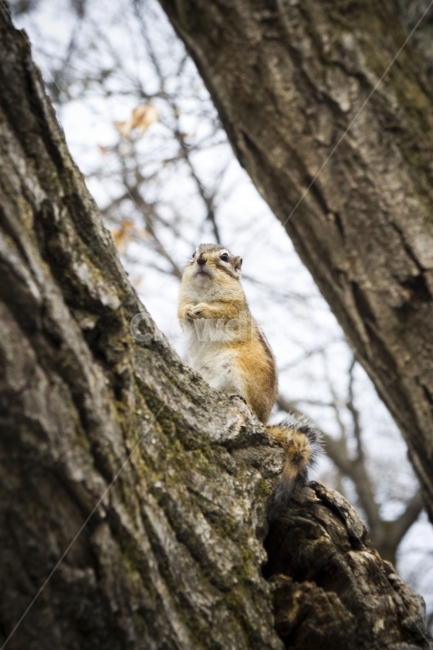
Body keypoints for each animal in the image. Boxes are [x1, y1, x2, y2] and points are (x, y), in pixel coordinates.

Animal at [178, 243, 320, 498]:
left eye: (224, 257)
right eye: (194, 253)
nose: (201, 260)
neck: (203, 290)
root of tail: (264, 421)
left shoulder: (234, 306)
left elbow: (219, 311)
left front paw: (202, 309)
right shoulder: (182, 298)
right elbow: (181, 311)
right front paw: (189, 311)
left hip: (238, 370)